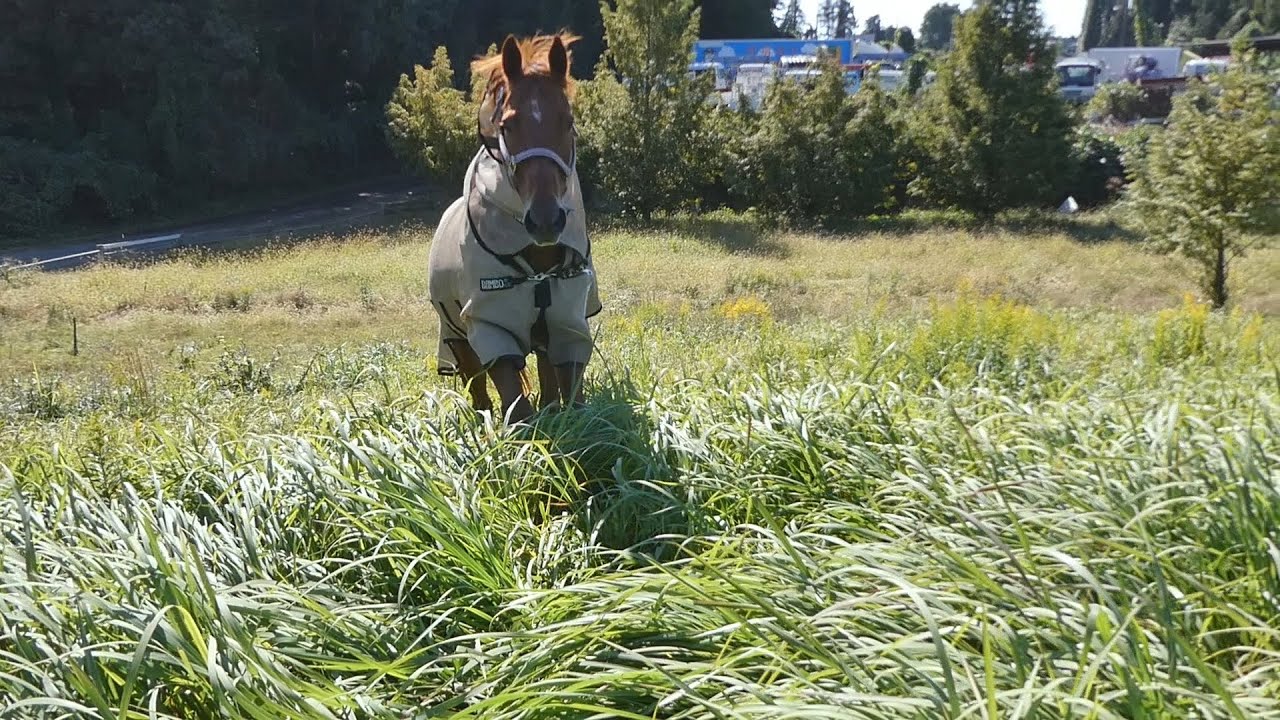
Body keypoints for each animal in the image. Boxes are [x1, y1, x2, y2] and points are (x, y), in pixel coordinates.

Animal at [428, 33, 601, 425]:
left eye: (567, 121)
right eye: (507, 125)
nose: (546, 220)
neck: (536, 268)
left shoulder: (568, 328)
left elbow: (571, 399)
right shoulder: (492, 328)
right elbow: (518, 410)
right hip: (457, 339)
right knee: (477, 388)